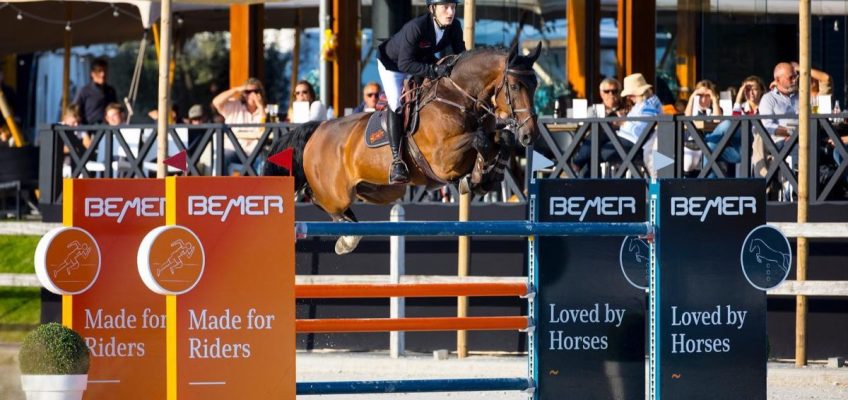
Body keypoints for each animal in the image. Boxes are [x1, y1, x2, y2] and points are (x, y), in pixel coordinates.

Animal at [266, 42, 544, 252]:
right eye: (515, 86)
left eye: (536, 85)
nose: (530, 135)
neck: (458, 98)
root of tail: (317, 129)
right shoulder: (442, 160)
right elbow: (480, 140)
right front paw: (476, 177)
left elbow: (500, 139)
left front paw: (485, 176)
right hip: (335, 192)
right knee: (316, 197)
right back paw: (347, 239)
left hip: (380, 190)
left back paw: (350, 234)